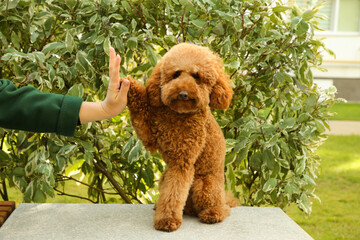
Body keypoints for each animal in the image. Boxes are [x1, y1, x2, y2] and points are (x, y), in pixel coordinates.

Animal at [123, 42, 236, 231]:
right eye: (176, 74)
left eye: (197, 76)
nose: (183, 93)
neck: (178, 115)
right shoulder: (150, 134)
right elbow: (140, 104)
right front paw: (127, 83)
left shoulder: (182, 161)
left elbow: (173, 192)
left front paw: (167, 220)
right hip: (164, 177)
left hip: (204, 185)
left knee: (223, 208)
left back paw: (212, 213)